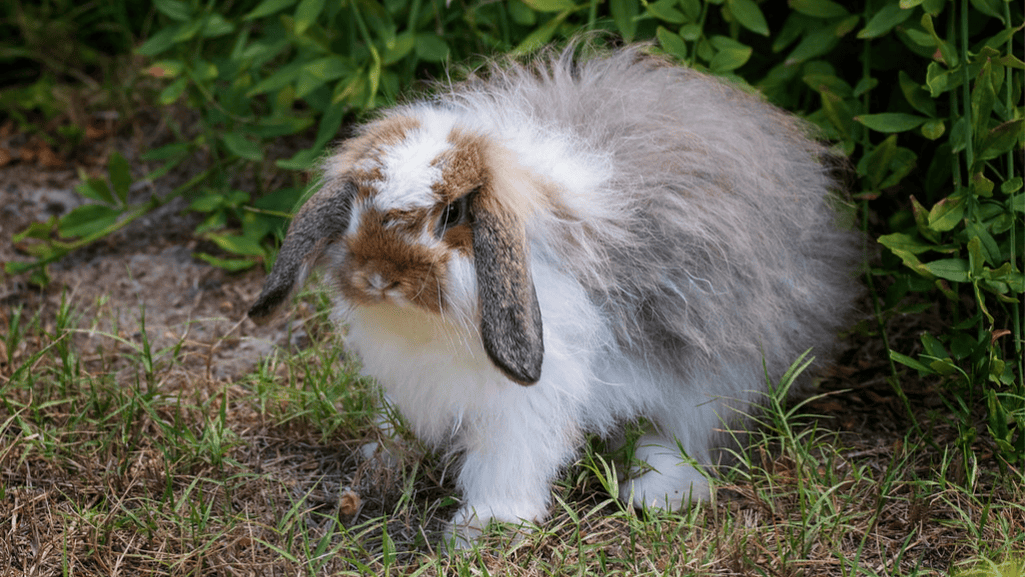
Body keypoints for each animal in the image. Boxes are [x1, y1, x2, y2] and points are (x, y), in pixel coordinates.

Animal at [248, 43, 862, 546]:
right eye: (356, 202)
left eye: (453, 214)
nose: (379, 277)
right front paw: (379, 464)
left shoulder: (526, 400)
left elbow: (509, 462)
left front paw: (485, 528)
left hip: (717, 365)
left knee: (691, 434)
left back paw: (658, 492)